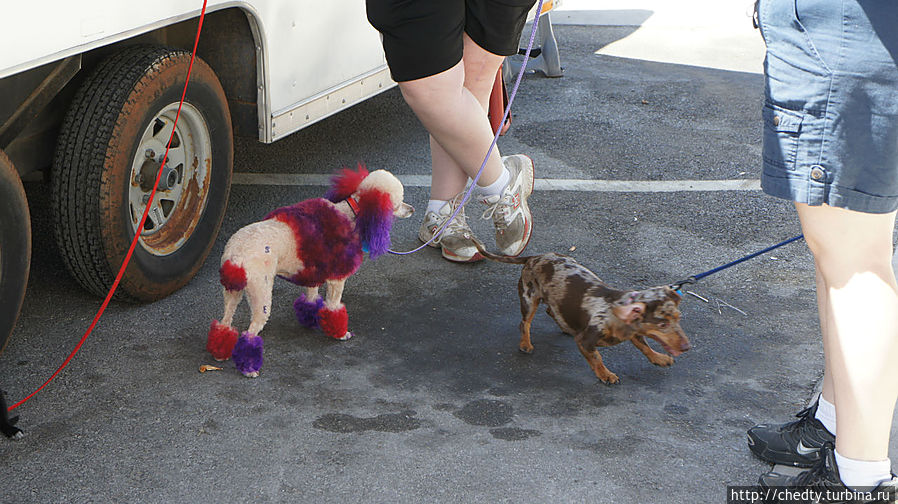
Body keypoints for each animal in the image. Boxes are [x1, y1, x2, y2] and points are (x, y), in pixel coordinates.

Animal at [472, 242, 688, 384]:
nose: (687, 347)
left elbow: (644, 346)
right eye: (662, 324)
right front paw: (605, 375)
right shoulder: (585, 341)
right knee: (525, 323)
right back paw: (525, 343)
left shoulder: (634, 333)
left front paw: (658, 358)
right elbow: (597, 358)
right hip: (529, 298)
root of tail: (534, 257)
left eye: (678, 318)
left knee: (551, 310)